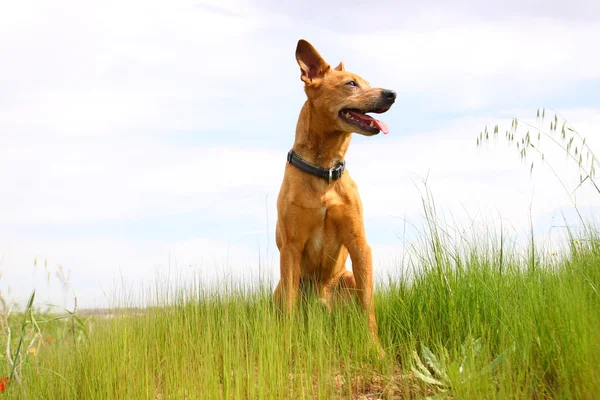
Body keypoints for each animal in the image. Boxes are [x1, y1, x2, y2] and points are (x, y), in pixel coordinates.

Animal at [274, 39, 396, 354]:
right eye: (351, 83)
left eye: (367, 82)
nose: (392, 94)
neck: (324, 171)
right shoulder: (290, 248)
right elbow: (290, 307)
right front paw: (288, 347)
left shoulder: (359, 243)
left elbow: (368, 306)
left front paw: (376, 350)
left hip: (347, 278)